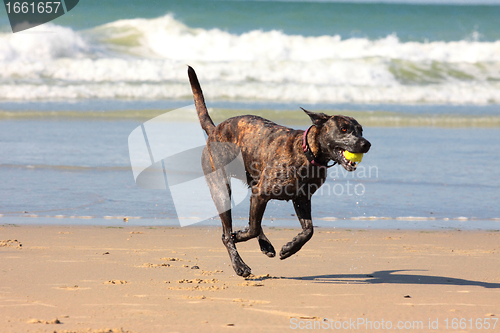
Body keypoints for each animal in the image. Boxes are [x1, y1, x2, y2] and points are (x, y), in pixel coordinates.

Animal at [188, 66, 372, 276]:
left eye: (360, 130)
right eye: (343, 129)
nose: (366, 144)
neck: (307, 153)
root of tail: (214, 130)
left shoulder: (301, 199)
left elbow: (309, 230)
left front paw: (290, 247)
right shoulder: (261, 193)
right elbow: (250, 228)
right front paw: (240, 236)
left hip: (252, 182)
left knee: (254, 222)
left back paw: (265, 245)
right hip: (221, 189)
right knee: (227, 234)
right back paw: (239, 264)